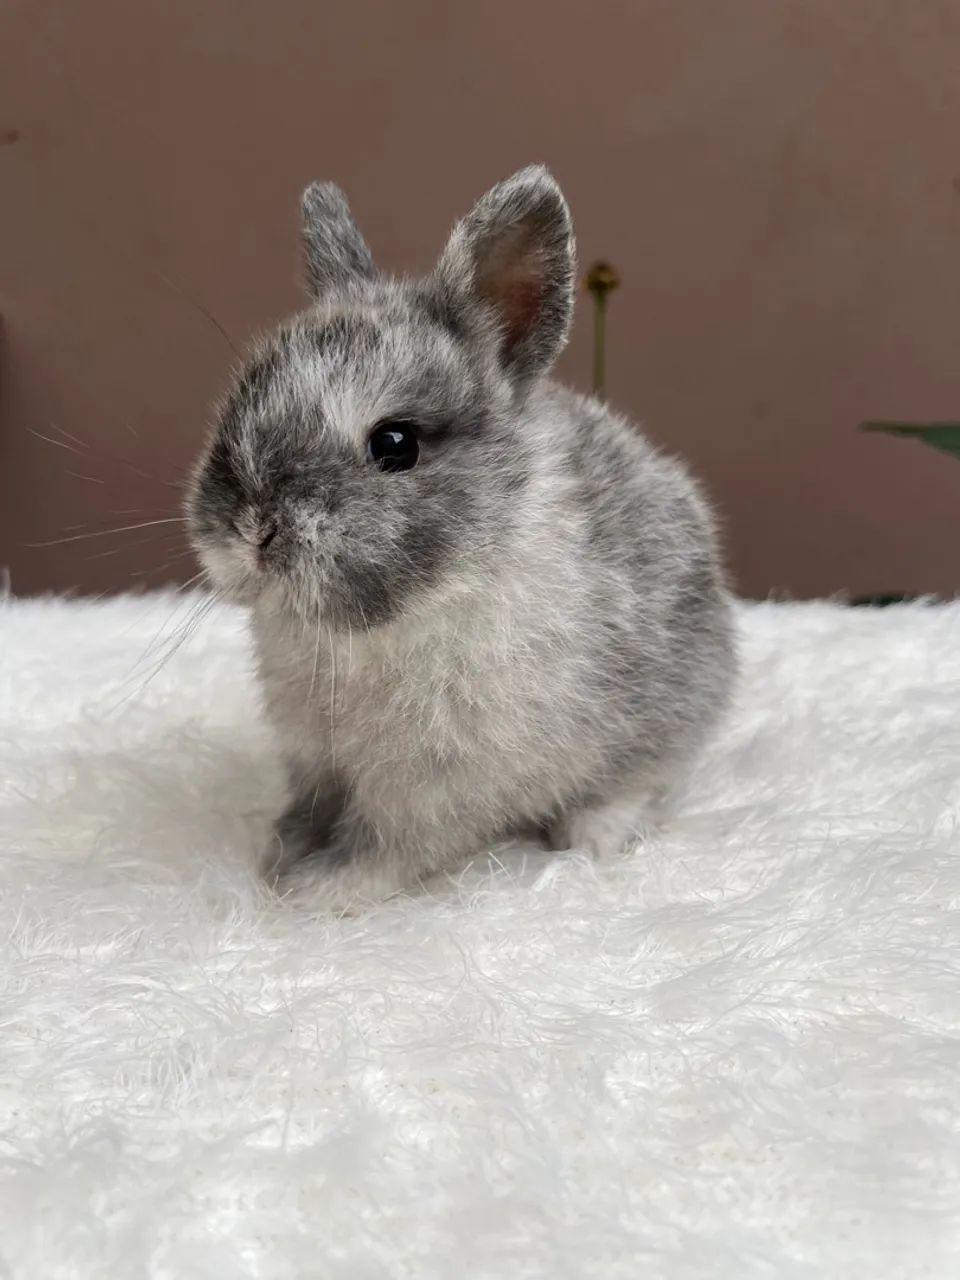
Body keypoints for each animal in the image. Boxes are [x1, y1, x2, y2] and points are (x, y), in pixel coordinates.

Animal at [186, 165, 737, 912]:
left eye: (395, 444)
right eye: (243, 399)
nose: (253, 532)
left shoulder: (431, 793)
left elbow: (387, 849)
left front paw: (320, 892)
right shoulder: (316, 761)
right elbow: (309, 811)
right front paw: (279, 857)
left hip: (666, 719)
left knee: (639, 780)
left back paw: (593, 838)